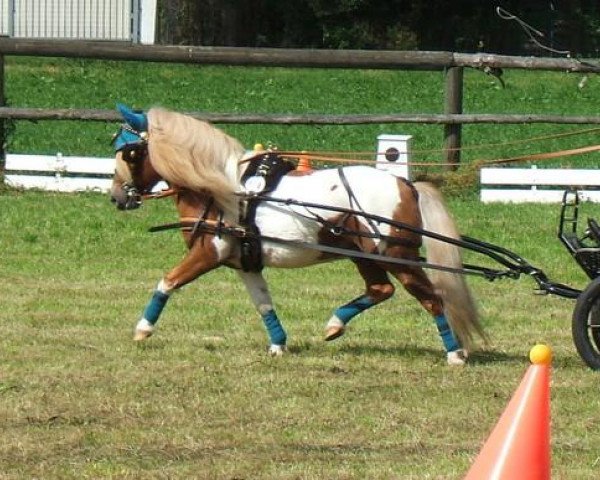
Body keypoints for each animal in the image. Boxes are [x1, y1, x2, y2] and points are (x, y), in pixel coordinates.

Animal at [110, 105, 486, 366]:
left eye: (131, 152)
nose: (116, 196)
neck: (220, 189)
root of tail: (406, 184)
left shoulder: (208, 253)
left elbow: (168, 281)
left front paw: (142, 329)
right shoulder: (245, 263)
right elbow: (263, 303)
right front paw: (278, 344)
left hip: (397, 256)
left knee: (432, 298)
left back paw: (454, 354)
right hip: (364, 255)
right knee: (381, 290)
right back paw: (334, 324)